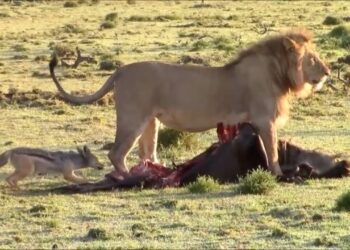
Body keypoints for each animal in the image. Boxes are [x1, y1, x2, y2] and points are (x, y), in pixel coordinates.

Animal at [50, 29, 330, 178]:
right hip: (132, 119)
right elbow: (271, 151)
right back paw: (128, 178)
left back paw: (154, 173)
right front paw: (279, 174)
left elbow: (264, 149)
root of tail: (121, 70)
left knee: (147, 153)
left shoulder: (257, 122)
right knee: (116, 153)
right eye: (313, 59)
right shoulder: (265, 120)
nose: (327, 72)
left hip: (150, 122)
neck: (279, 73)